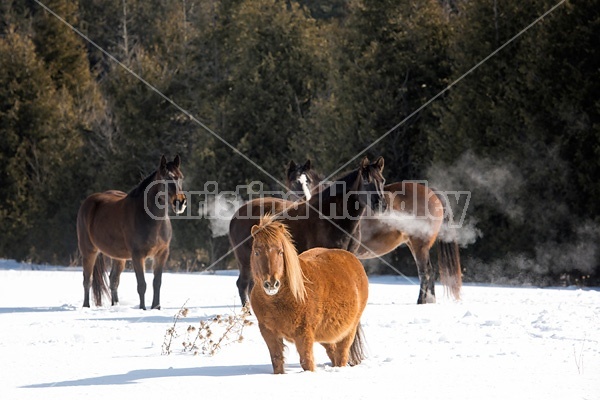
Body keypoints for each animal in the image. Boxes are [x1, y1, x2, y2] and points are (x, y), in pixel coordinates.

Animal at [76, 154, 186, 310]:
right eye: (166, 178)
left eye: (181, 177)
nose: (180, 202)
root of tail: (89, 202)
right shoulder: (137, 256)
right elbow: (142, 285)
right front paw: (143, 308)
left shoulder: (161, 254)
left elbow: (156, 283)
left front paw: (156, 307)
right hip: (89, 251)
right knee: (87, 280)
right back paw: (86, 306)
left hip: (118, 257)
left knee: (113, 280)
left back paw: (115, 305)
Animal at [247, 214, 368, 374]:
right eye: (256, 252)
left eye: (280, 251)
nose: (271, 284)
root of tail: (352, 259)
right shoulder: (269, 333)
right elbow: (277, 361)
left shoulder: (304, 334)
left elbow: (307, 363)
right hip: (325, 335)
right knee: (333, 352)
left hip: (348, 331)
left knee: (342, 354)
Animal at [286, 159, 460, 304]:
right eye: (293, 182)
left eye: (307, 181)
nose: (302, 200)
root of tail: (431, 191)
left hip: (419, 246)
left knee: (425, 272)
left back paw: (422, 301)